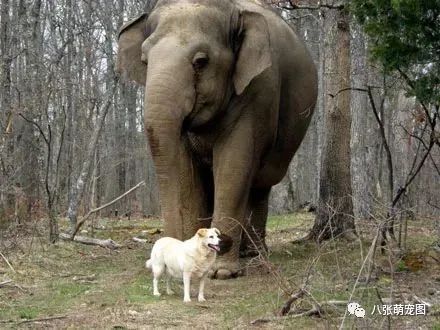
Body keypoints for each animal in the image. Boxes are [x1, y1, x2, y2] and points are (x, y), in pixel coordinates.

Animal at [117, 0, 316, 278]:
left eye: (201, 61)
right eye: (145, 60)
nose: (163, 256)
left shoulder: (258, 89)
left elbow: (234, 164)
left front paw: (221, 272)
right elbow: (185, 170)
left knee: (260, 184)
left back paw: (253, 253)